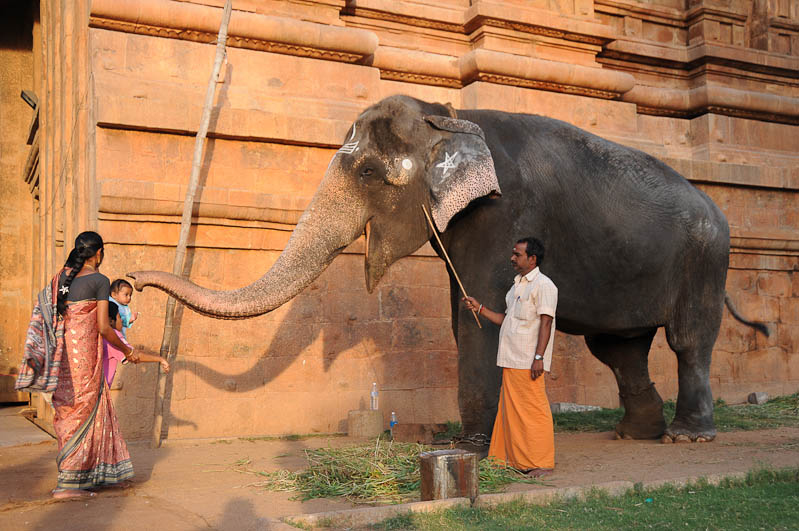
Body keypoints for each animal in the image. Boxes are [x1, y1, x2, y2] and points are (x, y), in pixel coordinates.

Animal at [130, 94, 768, 444]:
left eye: (367, 173)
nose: (134, 281)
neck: (448, 116)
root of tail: (717, 207)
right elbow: (462, 315)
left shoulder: (504, 213)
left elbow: (483, 316)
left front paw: (469, 449)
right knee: (620, 349)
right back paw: (635, 434)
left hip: (704, 260)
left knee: (687, 340)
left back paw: (688, 436)